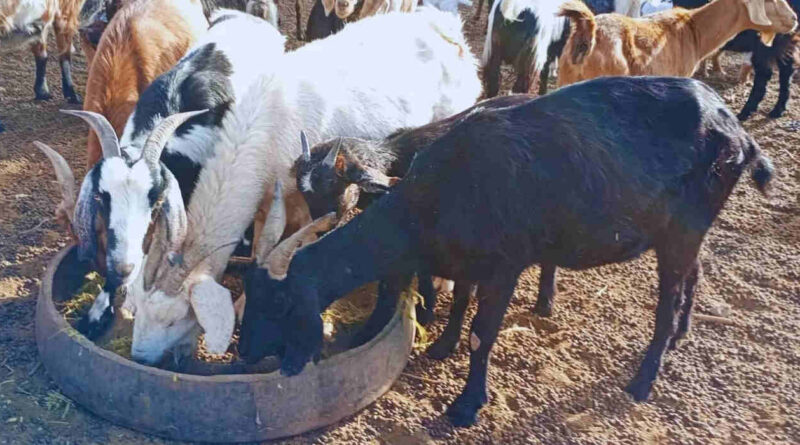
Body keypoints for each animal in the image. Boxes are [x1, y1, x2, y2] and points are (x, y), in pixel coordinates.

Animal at [125, 8, 482, 366]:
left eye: (174, 318)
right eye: (139, 306)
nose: (140, 357)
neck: (263, 128)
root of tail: (444, 27)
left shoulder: (302, 199)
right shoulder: (266, 202)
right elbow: (261, 242)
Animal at [238, 76, 774, 427]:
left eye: (281, 303)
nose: (243, 354)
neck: (435, 194)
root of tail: (737, 130)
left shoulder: (504, 266)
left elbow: (481, 332)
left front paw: (466, 405)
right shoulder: (462, 258)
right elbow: (457, 301)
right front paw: (441, 346)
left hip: (683, 226)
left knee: (666, 299)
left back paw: (645, 378)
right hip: (686, 229)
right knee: (693, 272)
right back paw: (682, 333)